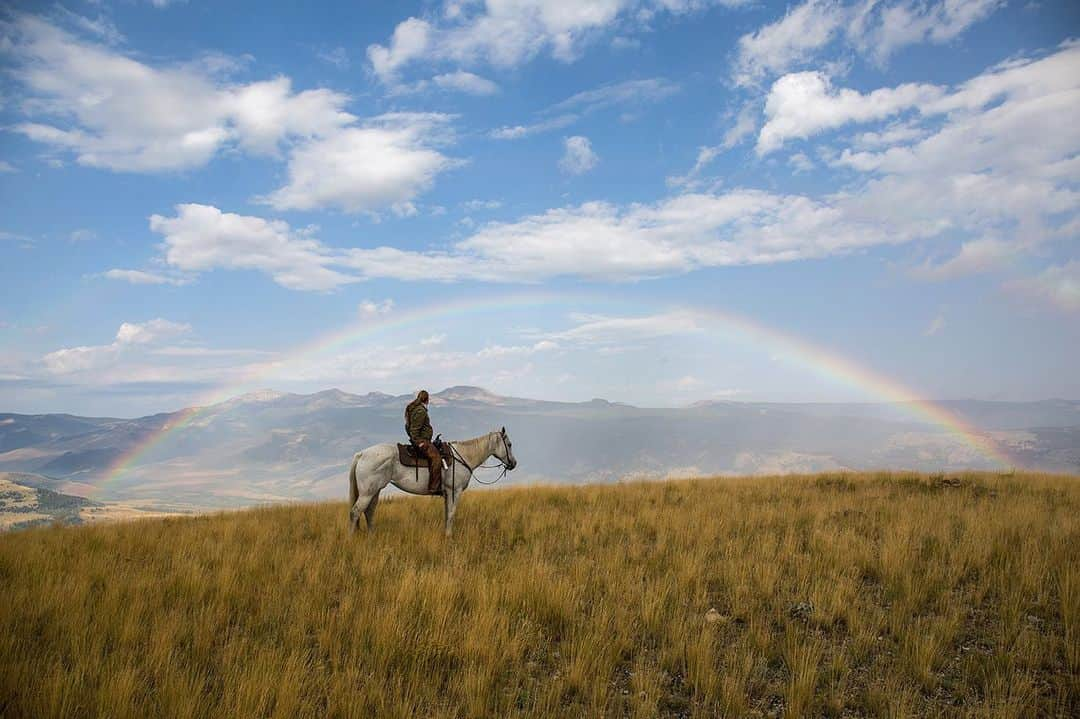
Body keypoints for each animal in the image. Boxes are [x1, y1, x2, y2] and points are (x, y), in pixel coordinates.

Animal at [345, 425, 514, 531]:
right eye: (509, 444)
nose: (514, 463)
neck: (464, 456)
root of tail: (361, 454)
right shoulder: (455, 491)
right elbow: (451, 515)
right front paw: (449, 537)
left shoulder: (447, 493)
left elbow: (447, 515)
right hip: (367, 493)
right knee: (355, 512)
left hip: (375, 491)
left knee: (369, 512)